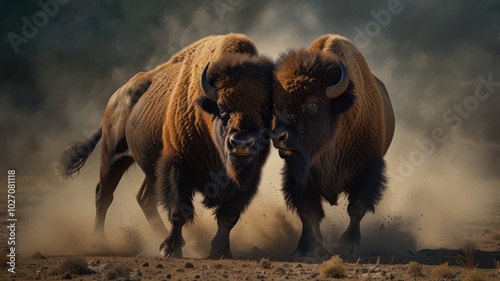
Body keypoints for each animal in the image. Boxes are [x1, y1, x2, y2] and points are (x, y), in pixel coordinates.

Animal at [60, 34, 276, 258]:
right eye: (222, 109)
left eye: (266, 109)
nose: (242, 143)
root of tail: (116, 96)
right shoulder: (178, 166)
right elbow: (180, 210)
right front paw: (171, 250)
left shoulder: (247, 180)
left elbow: (228, 217)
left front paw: (221, 252)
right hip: (113, 157)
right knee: (103, 194)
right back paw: (98, 242)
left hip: (151, 169)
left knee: (144, 198)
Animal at [270, 34, 394, 256]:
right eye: (275, 106)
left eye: (312, 104)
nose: (278, 136)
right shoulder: (298, 176)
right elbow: (308, 212)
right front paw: (306, 249)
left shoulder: (368, 169)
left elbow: (357, 208)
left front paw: (349, 246)